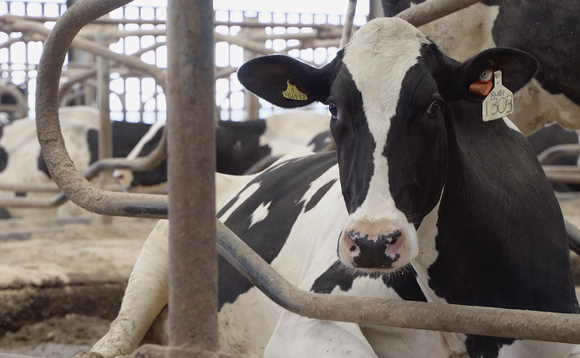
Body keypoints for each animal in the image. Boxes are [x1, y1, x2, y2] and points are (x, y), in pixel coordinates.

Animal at [78, 18, 580, 358]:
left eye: (435, 106)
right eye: (334, 109)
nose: (373, 242)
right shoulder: (313, 313)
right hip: (155, 260)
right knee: (115, 337)